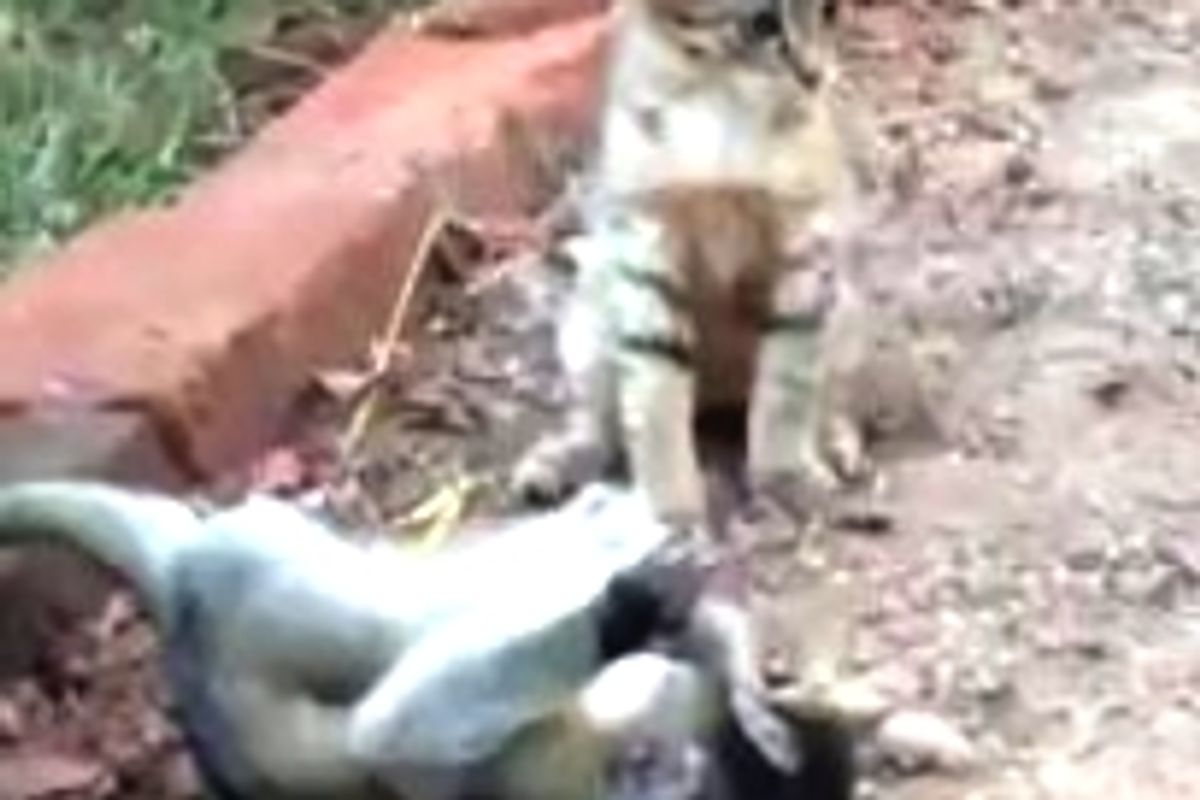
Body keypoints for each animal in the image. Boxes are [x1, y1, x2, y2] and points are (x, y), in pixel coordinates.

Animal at [513, 0, 864, 541]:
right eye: (762, 24)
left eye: (831, 11)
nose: (815, 76)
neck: (721, 101)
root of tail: (717, 397)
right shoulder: (646, 243)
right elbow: (654, 395)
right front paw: (670, 509)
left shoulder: (806, 246)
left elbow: (787, 384)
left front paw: (787, 477)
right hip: (588, 323)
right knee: (602, 422)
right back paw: (558, 462)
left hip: (842, 311)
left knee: (824, 394)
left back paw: (835, 441)